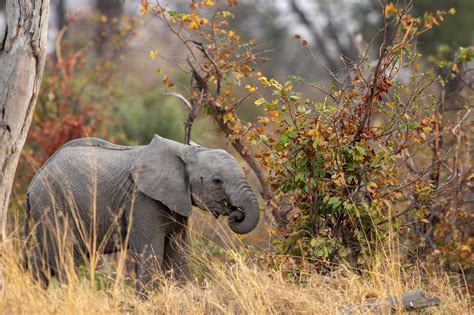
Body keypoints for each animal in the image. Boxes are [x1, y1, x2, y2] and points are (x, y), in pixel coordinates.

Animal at [24, 135, 262, 296]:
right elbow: (151, 252)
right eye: (217, 180)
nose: (234, 213)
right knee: (64, 255)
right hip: (53, 202)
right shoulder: (142, 200)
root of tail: (33, 182)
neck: (185, 152)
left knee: (41, 258)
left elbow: (179, 251)